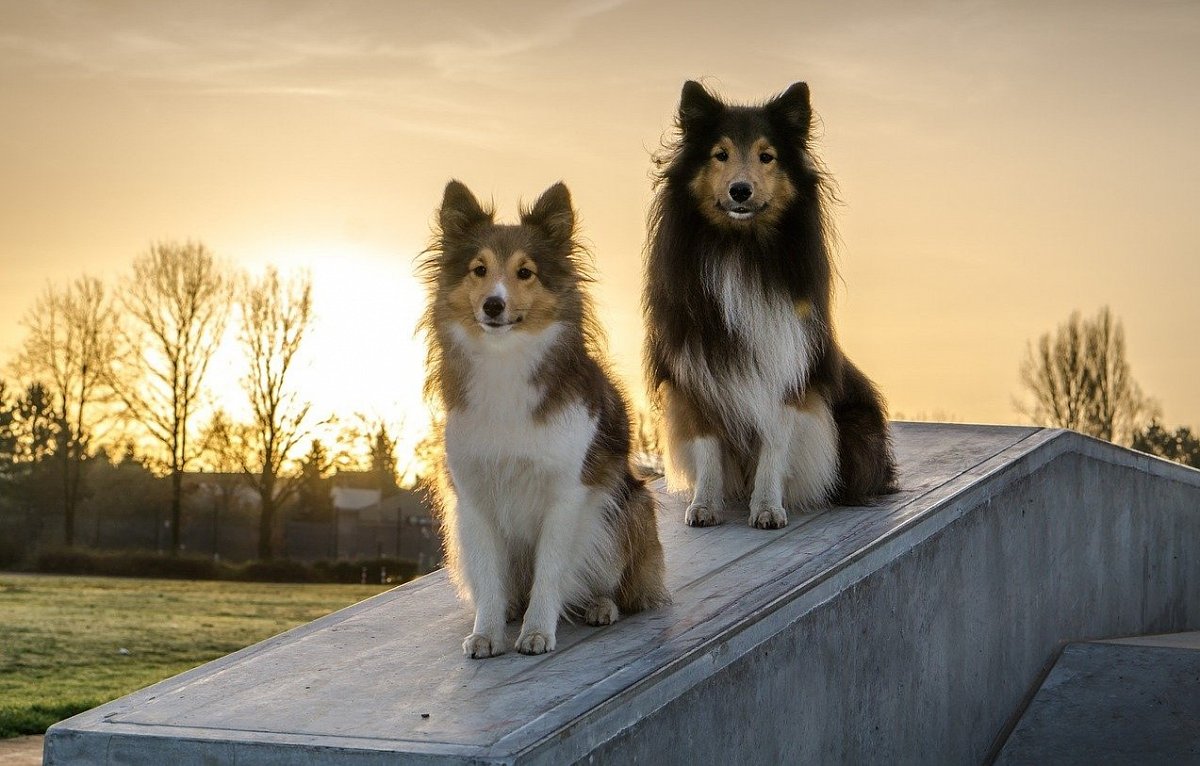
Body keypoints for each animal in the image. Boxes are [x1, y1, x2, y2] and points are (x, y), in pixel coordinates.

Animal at [420, 180, 667, 662]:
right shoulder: (474, 499)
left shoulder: (566, 495)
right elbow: (491, 579)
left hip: (628, 509)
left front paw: (537, 631)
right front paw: (488, 632)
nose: (493, 306)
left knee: (616, 584)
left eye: (525, 272)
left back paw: (601, 605)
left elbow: (550, 571)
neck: (506, 362)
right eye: (479, 270)